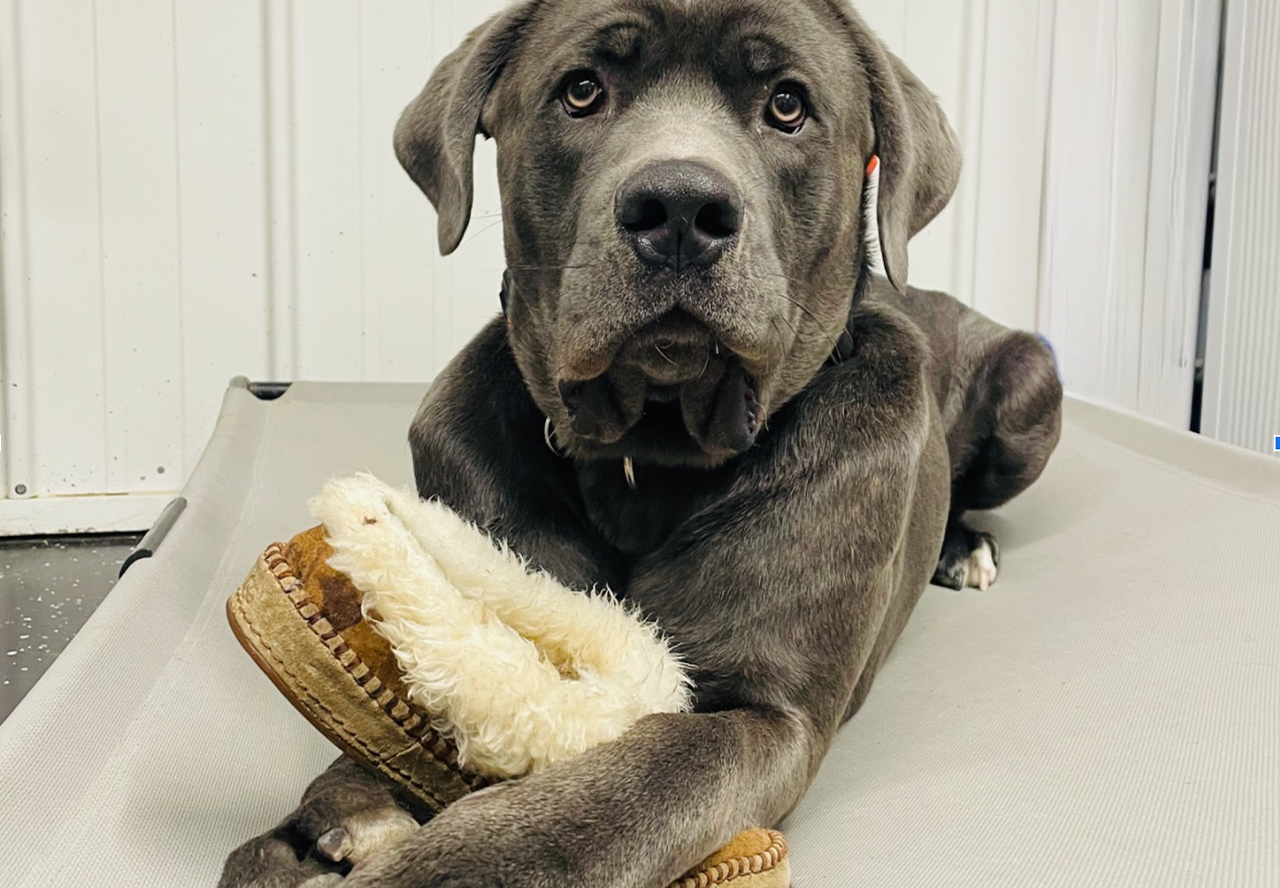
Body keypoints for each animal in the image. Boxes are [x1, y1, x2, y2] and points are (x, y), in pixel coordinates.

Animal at [220, 1, 1062, 885]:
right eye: (582, 90)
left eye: (788, 105)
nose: (681, 209)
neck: (650, 457)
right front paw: (319, 820)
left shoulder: (766, 708)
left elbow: (628, 785)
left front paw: (445, 865)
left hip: (1031, 379)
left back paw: (963, 546)